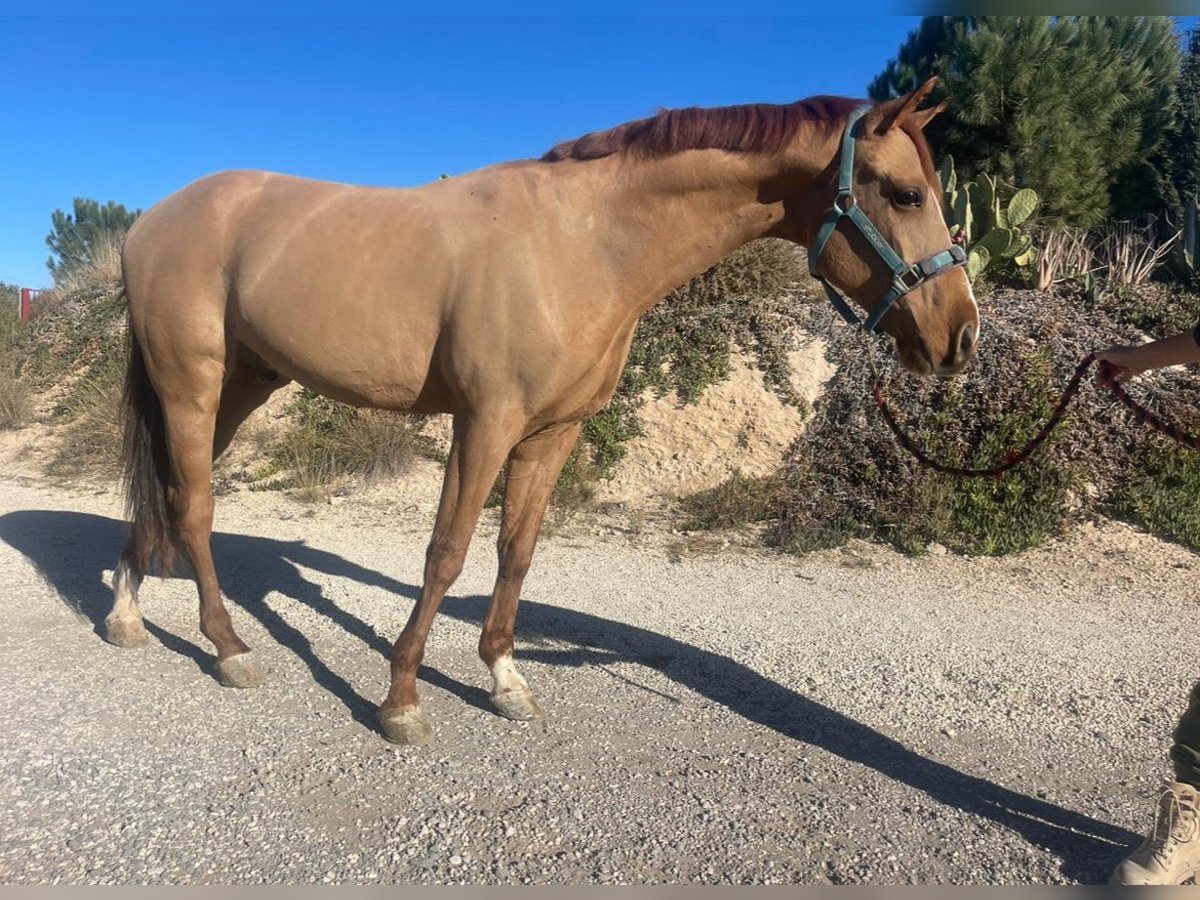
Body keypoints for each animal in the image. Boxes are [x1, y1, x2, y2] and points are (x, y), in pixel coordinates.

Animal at [108, 79, 979, 748]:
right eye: (906, 194)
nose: (961, 337)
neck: (583, 243)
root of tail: (154, 219)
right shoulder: (485, 422)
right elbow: (447, 554)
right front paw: (402, 700)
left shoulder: (554, 434)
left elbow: (517, 553)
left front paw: (504, 680)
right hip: (192, 384)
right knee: (194, 507)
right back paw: (228, 648)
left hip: (239, 387)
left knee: (164, 496)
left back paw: (125, 612)